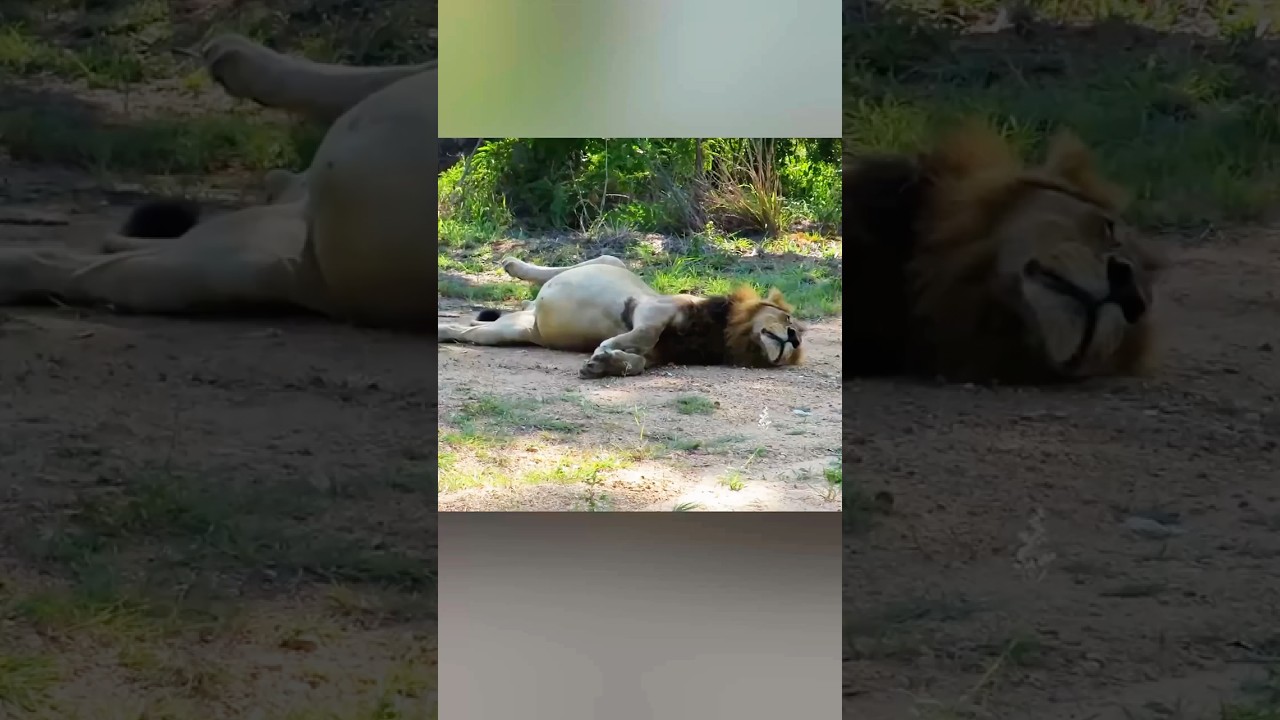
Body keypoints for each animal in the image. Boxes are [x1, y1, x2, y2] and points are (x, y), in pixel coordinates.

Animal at [437, 256, 805, 379]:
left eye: (795, 350)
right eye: (788, 319)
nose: (795, 338)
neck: (722, 335)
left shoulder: (659, 355)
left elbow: (639, 362)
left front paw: (602, 365)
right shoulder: (653, 308)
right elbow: (644, 333)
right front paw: (605, 348)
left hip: (507, 331)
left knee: (469, 330)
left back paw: (444, 329)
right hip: (611, 264)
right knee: (576, 264)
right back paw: (514, 264)